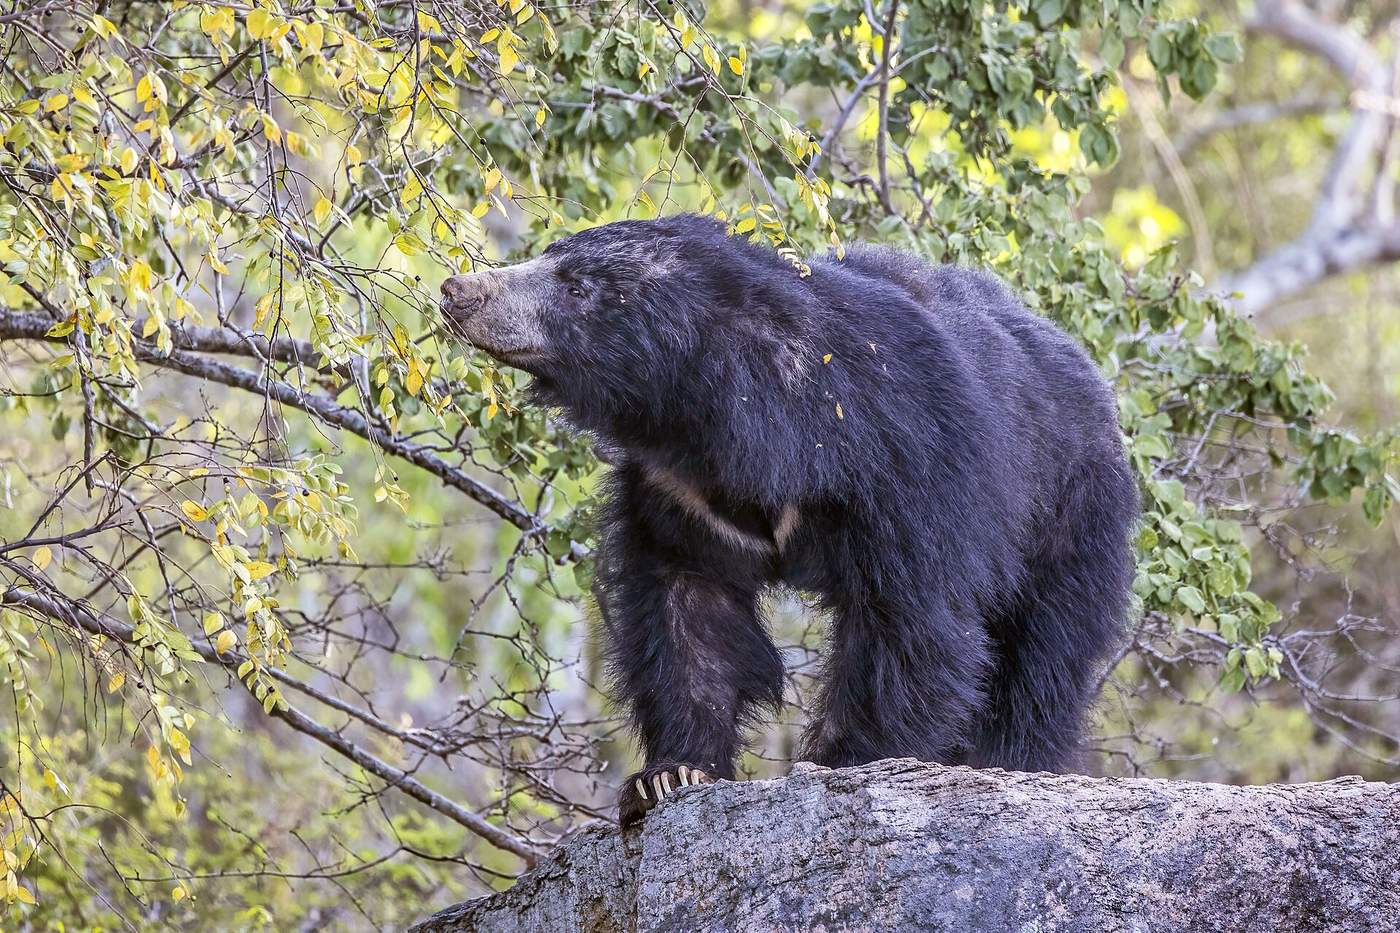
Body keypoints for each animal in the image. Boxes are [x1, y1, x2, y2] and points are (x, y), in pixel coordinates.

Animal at [439, 214, 1138, 826]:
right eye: (549, 256)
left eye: (577, 287)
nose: (458, 290)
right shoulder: (679, 494)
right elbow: (687, 609)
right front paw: (670, 775)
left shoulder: (905, 463)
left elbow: (909, 619)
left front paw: (848, 762)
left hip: (1070, 515)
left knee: (1043, 658)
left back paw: (1015, 760)